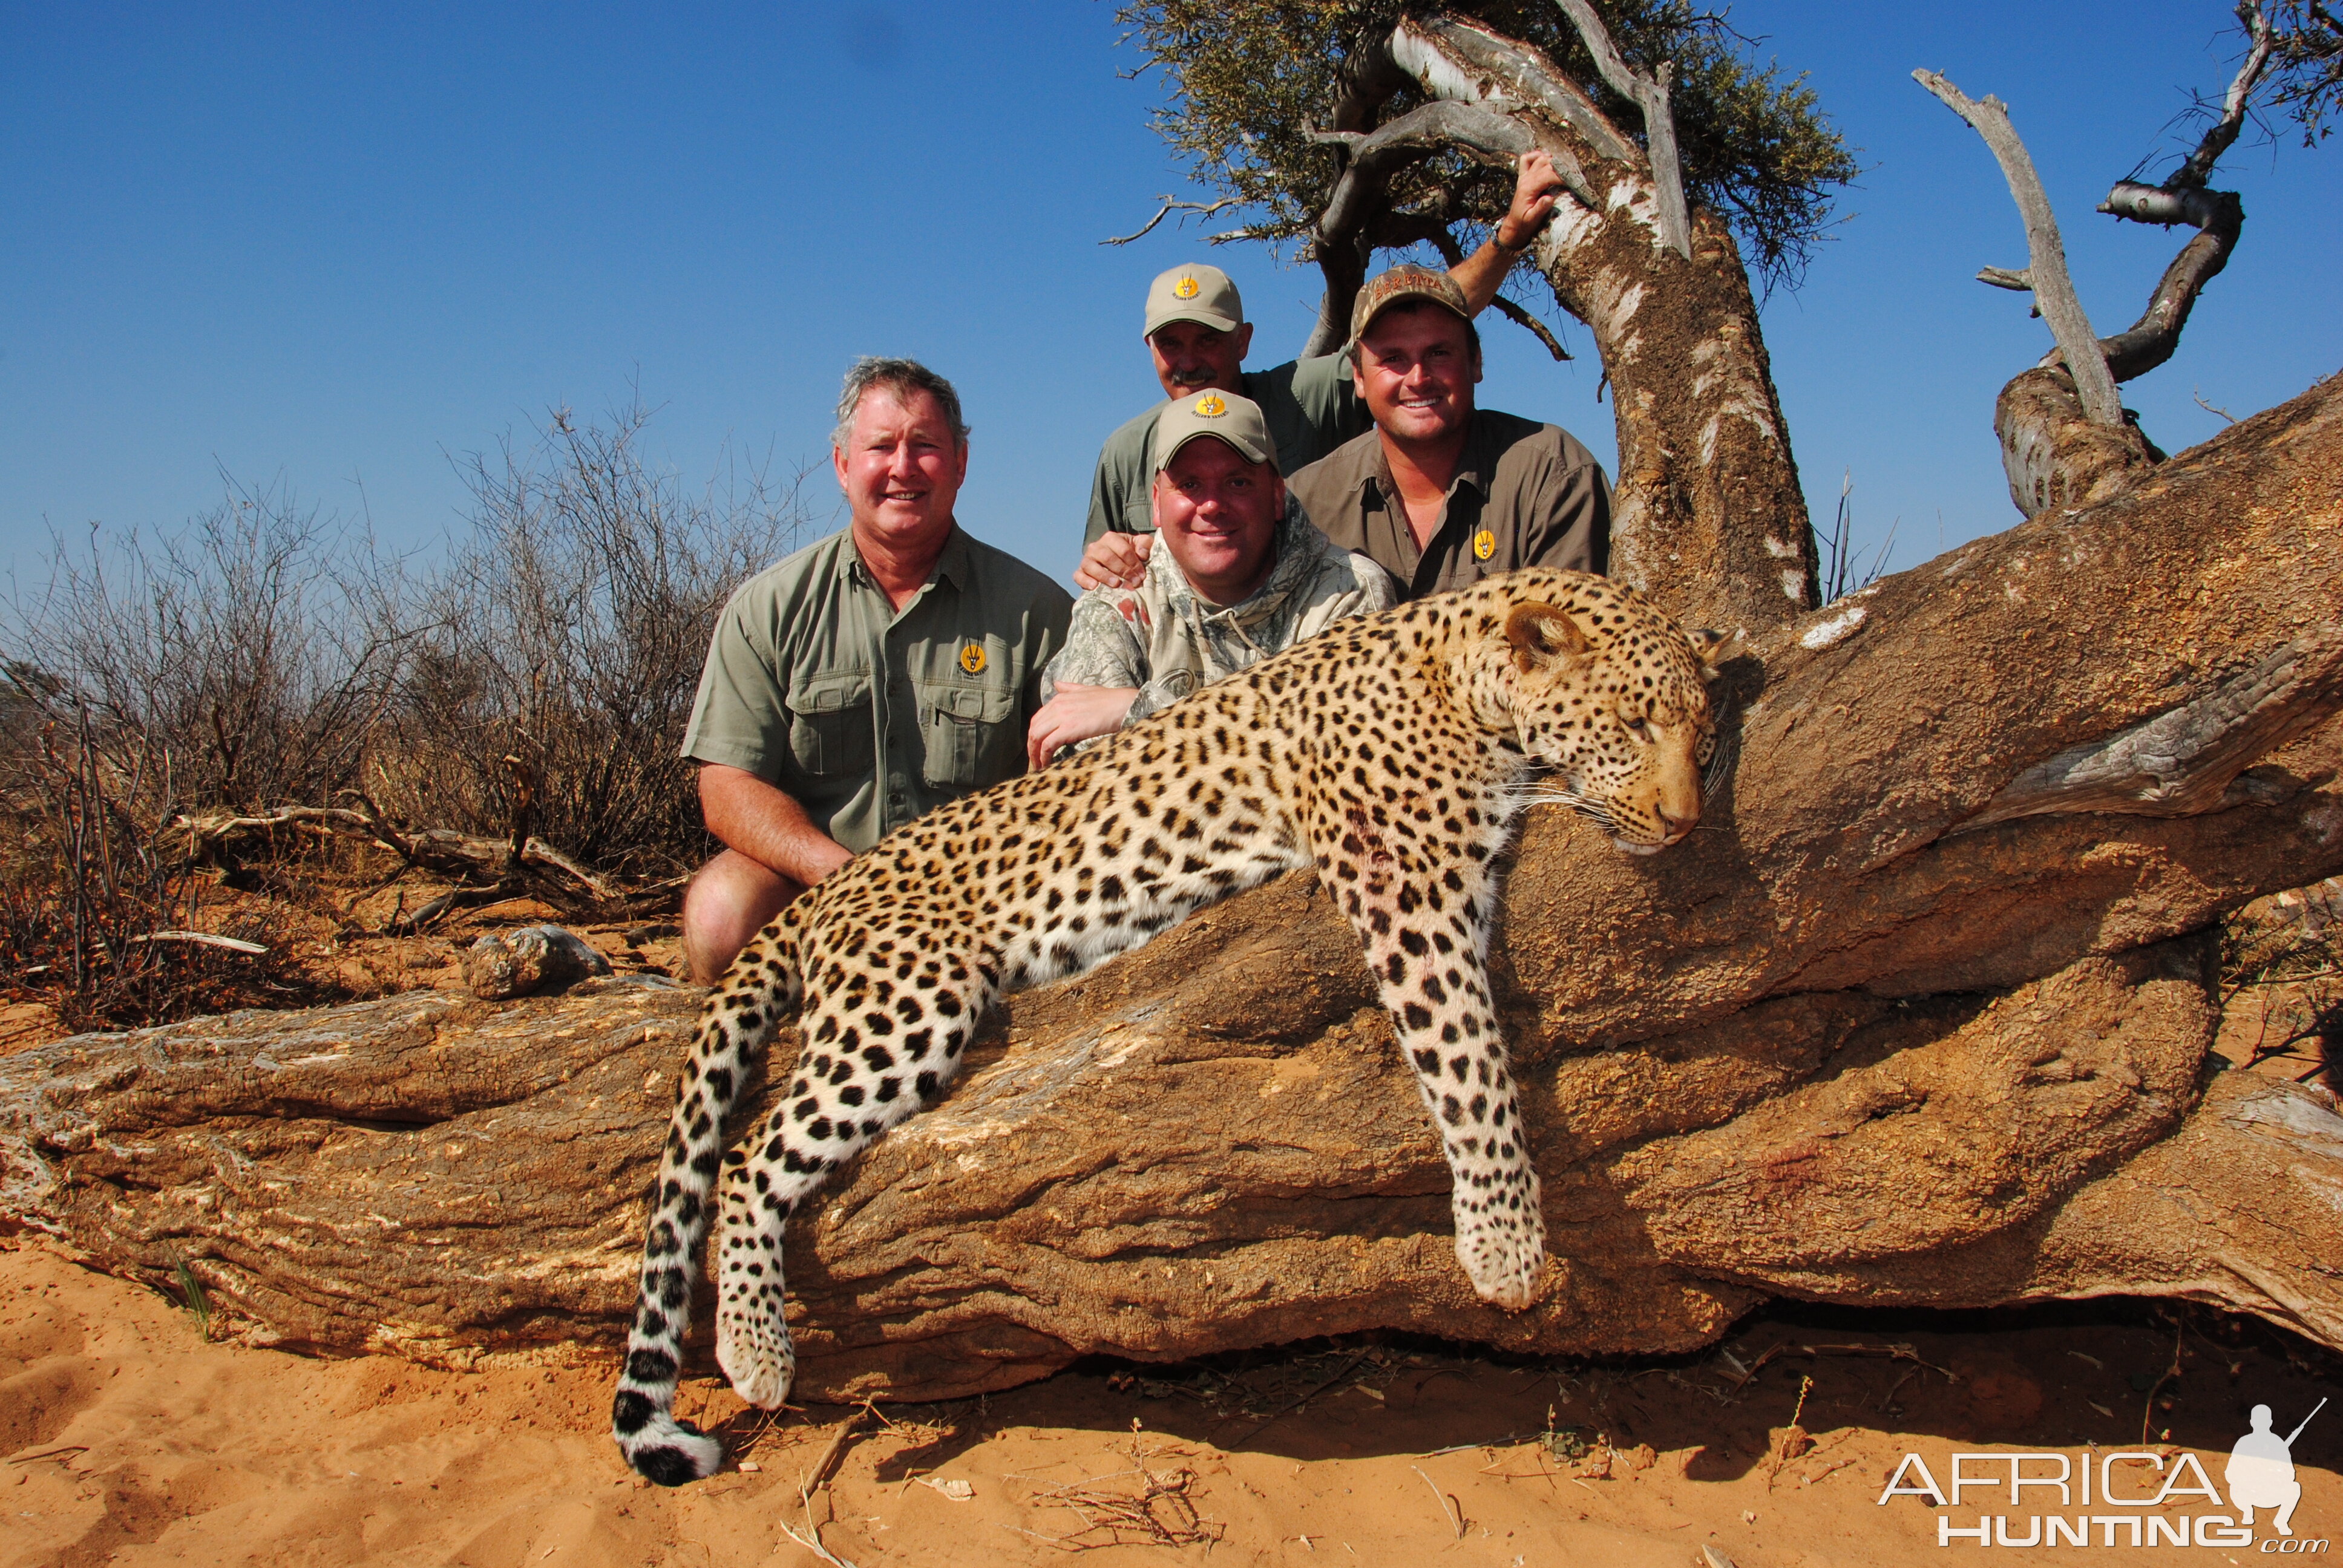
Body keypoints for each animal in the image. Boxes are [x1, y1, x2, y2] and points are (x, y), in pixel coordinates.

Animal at [614, 569, 1734, 1491]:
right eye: (1634, 723)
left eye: (1705, 737)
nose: (1686, 821)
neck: (1466, 681)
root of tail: (835, 883)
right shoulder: (1405, 886)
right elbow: (1471, 1061)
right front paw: (1504, 1247)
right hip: (907, 1001)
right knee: (748, 1157)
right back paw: (757, 1353)